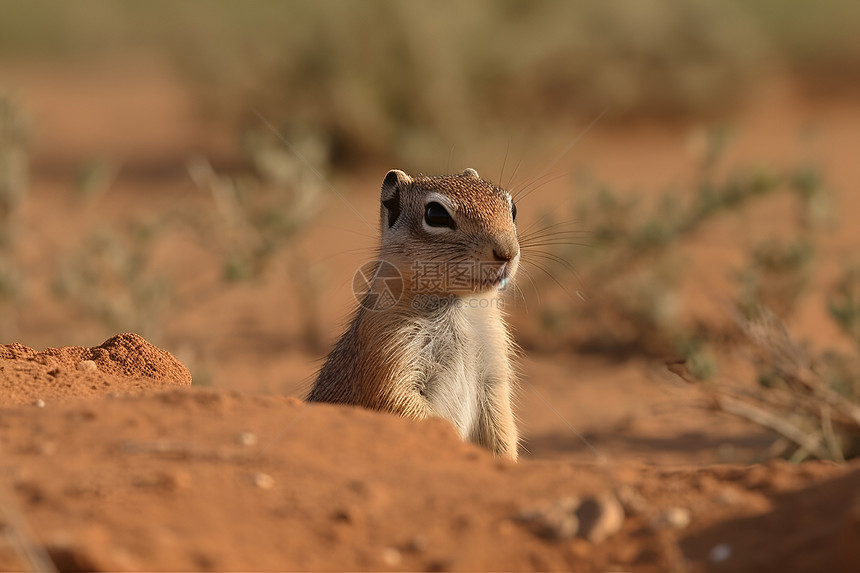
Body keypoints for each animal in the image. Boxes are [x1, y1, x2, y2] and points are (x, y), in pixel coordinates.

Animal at [312, 168, 520, 458]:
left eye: (512, 209)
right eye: (436, 214)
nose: (508, 252)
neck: (456, 304)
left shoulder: (493, 372)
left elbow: (502, 424)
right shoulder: (388, 351)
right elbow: (405, 406)